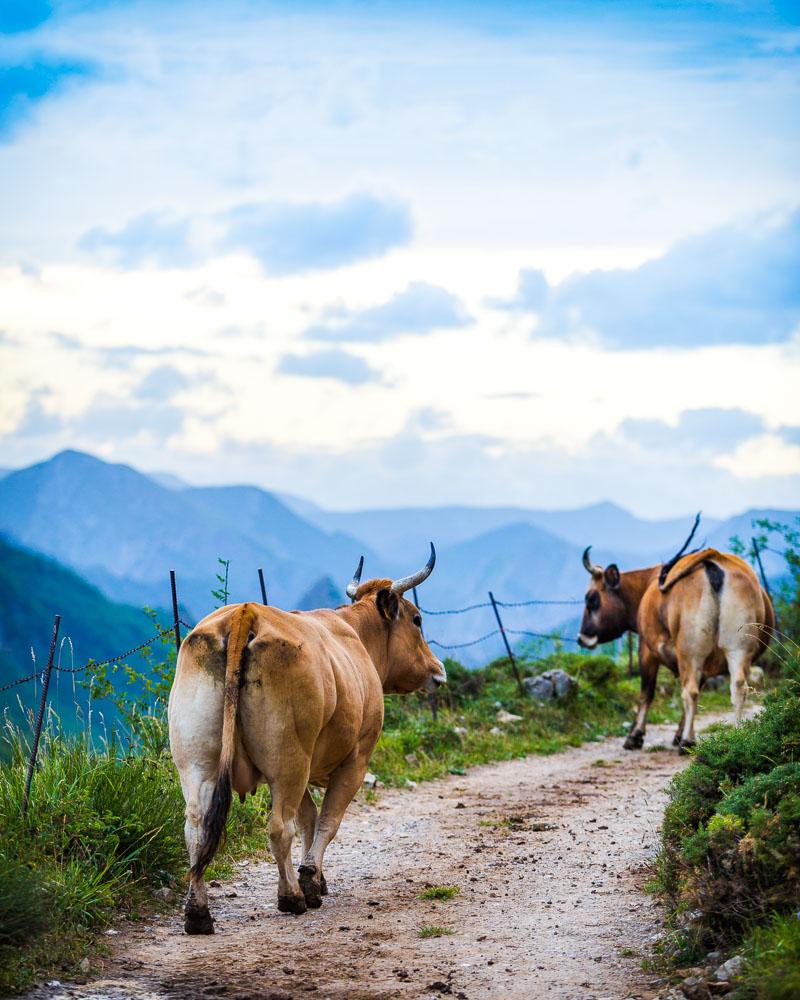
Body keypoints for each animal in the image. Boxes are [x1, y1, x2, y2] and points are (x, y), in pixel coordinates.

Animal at [169, 548, 446, 928]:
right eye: (417, 620)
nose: (438, 670)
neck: (355, 636)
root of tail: (246, 612)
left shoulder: (307, 765)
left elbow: (308, 819)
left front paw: (315, 876)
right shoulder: (355, 760)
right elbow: (327, 821)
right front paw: (311, 880)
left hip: (198, 762)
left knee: (196, 826)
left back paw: (197, 913)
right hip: (289, 760)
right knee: (278, 827)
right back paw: (291, 897)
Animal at [580, 524, 772, 752]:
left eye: (591, 599)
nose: (581, 637)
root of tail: (714, 562)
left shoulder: (646, 650)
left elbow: (647, 693)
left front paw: (635, 736)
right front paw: (678, 734)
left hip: (691, 649)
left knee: (690, 692)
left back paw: (688, 741)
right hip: (737, 647)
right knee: (738, 687)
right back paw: (737, 734)